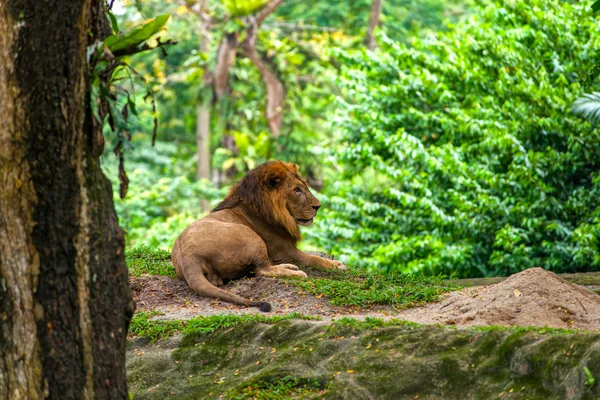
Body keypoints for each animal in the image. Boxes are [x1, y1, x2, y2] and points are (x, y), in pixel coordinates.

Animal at [170, 161, 346, 310]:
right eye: (297, 190)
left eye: (305, 187)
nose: (318, 206)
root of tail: (188, 258)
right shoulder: (287, 251)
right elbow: (315, 259)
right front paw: (337, 265)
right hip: (250, 236)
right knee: (263, 269)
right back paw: (296, 272)